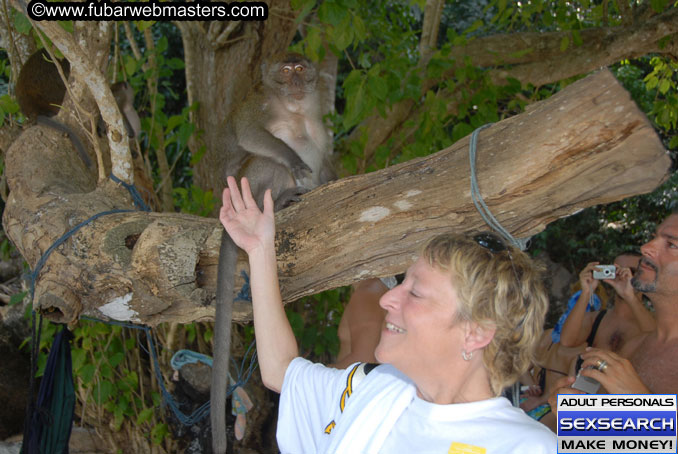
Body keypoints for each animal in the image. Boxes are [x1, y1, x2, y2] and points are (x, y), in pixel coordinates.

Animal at [211, 51, 336, 452]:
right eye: (285, 71)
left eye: (300, 70)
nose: (296, 81)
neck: (293, 107)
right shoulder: (259, 102)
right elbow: (251, 134)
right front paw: (293, 160)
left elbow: (323, 163)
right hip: (247, 185)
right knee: (268, 163)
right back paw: (281, 199)